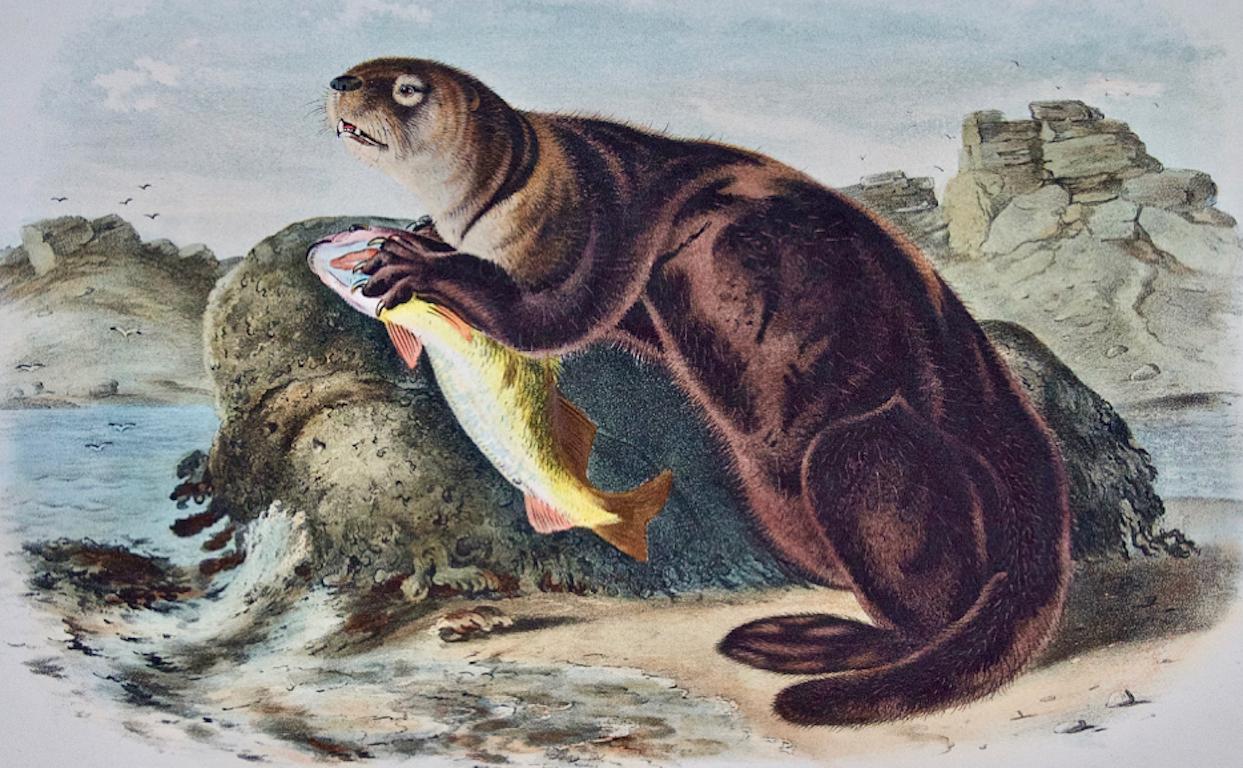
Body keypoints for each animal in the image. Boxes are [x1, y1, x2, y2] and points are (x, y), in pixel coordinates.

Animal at [325, 58, 1072, 726]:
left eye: (408, 88)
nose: (339, 82)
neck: (538, 176)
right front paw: (420, 235)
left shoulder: (601, 220)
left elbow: (550, 318)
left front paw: (416, 261)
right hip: (778, 509)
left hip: (862, 449)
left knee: (926, 603)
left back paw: (811, 641)